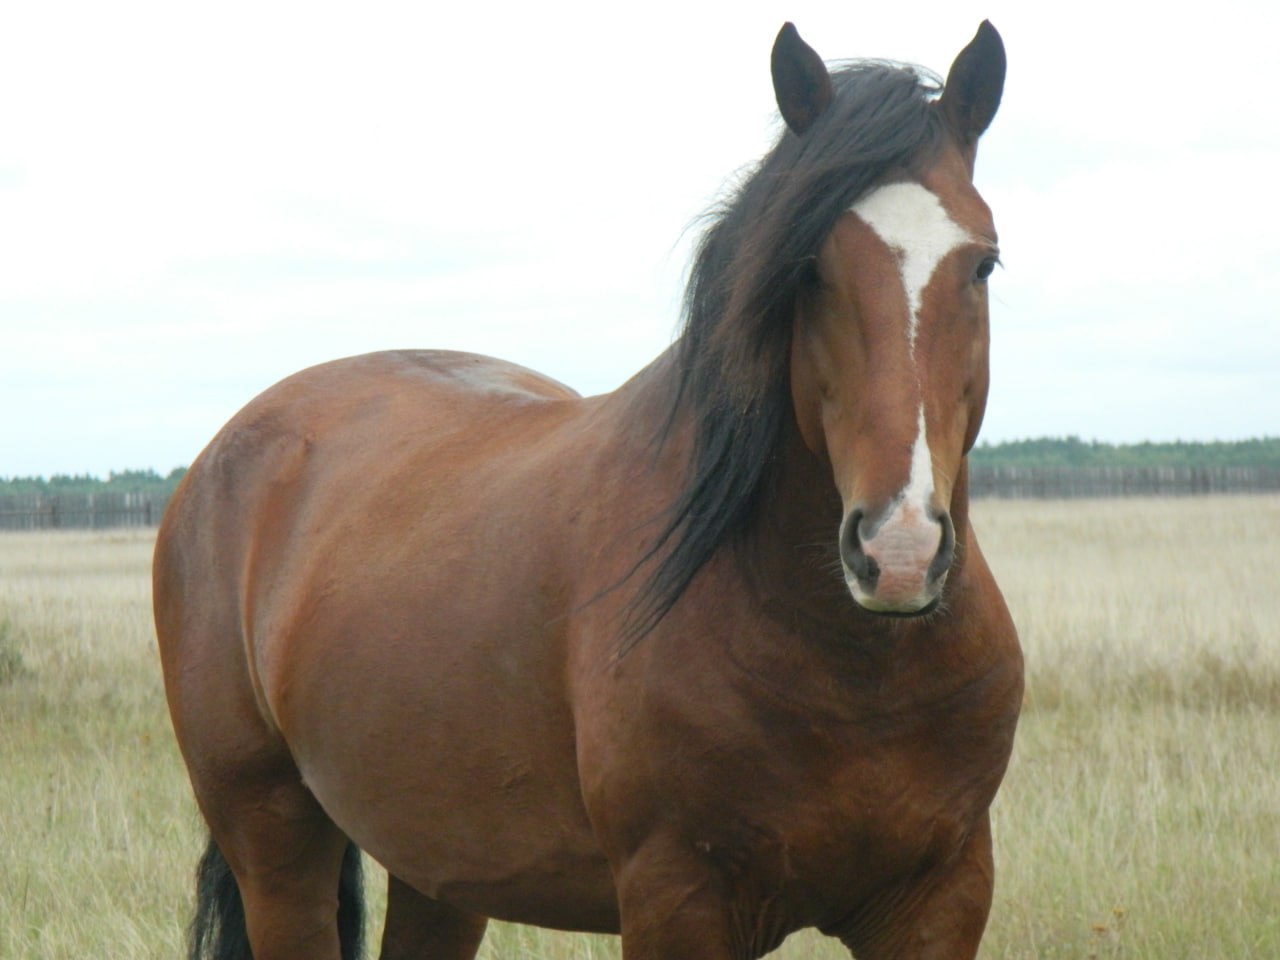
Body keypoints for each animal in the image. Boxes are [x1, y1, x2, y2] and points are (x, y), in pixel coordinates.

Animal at [154, 22, 1024, 960]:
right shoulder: (676, 902)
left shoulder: (939, 900)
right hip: (275, 838)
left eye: (983, 264)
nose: (896, 552)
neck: (852, 672)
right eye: (810, 269)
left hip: (443, 867)